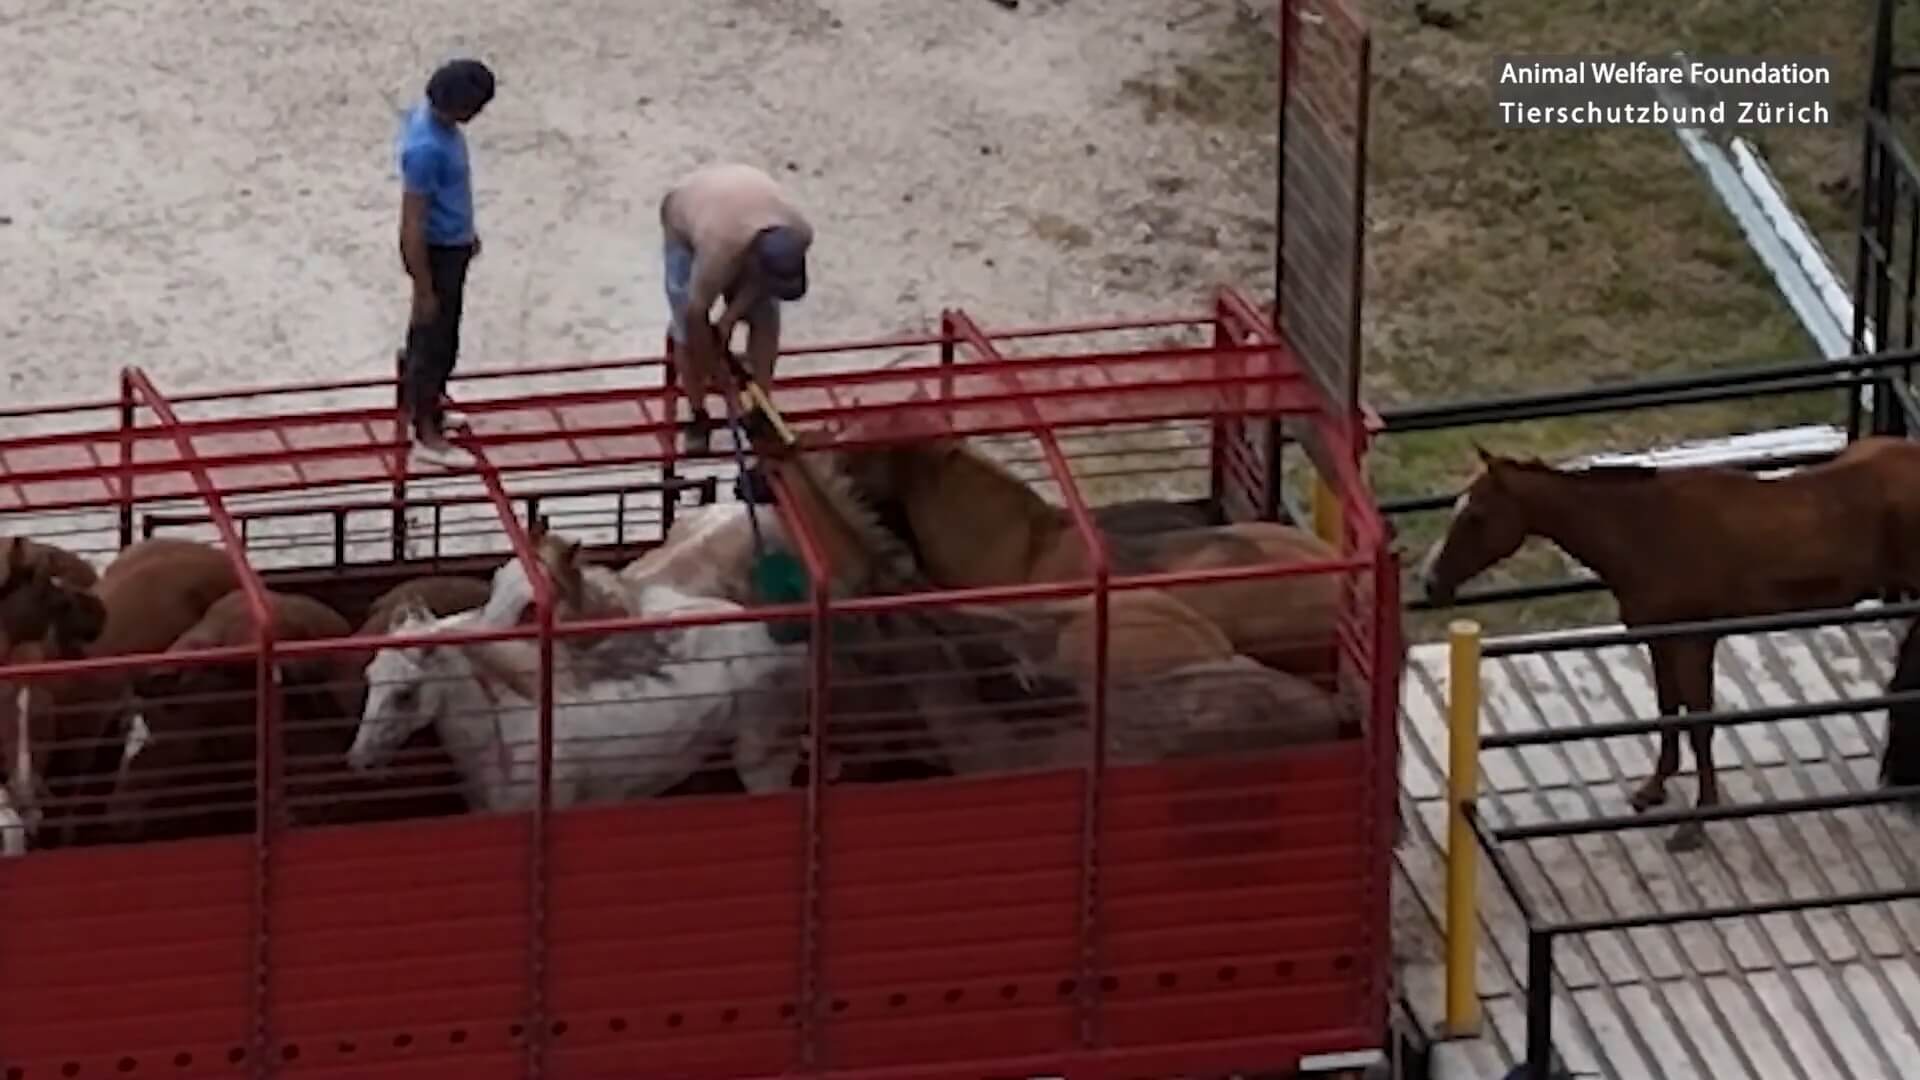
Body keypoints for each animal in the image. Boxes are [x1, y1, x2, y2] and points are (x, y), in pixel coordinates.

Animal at [1413, 440, 1920, 849]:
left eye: (1477, 516)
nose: (1431, 583)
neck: (1646, 531)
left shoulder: (1693, 639)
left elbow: (1698, 722)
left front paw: (1698, 819)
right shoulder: (1659, 637)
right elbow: (1668, 711)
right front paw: (1654, 789)